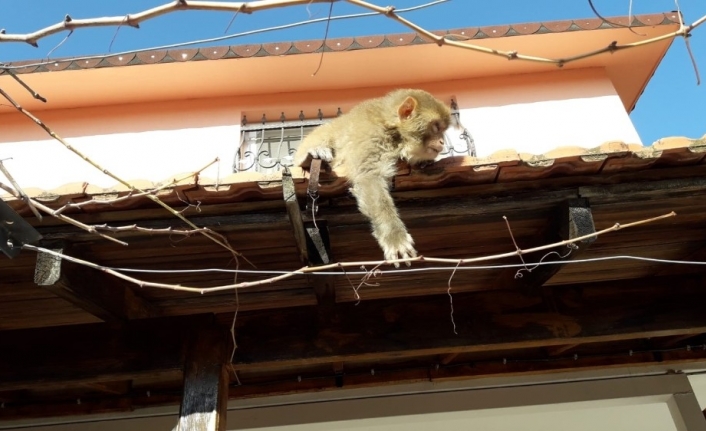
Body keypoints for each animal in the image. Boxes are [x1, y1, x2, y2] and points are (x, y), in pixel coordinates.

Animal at [292, 88, 452, 266]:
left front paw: (424, 161)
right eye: (436, 127)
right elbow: (369, 177)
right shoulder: (373, 136)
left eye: (443, 130)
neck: (392, 130)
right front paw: (394, 237)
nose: (442, 142)